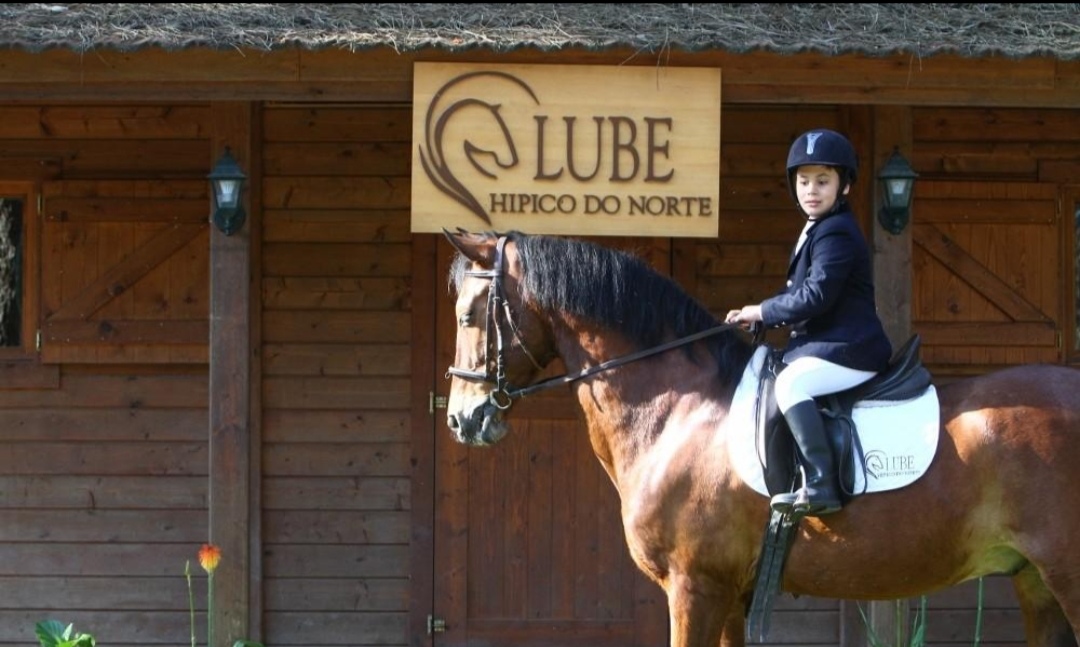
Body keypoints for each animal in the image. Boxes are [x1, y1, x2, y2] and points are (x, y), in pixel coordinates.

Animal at [442, 229, 1080, 647]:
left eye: (469, 315)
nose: (461, 420)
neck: (679, 407)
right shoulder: (731, 592)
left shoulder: (694, 587)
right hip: (1035, 585)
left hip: (1063, 575)